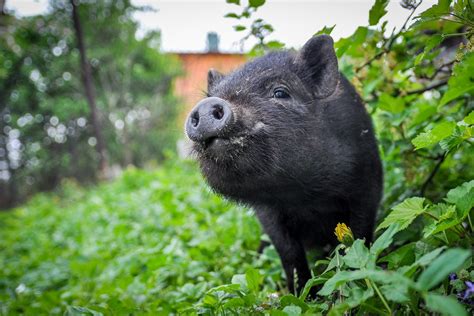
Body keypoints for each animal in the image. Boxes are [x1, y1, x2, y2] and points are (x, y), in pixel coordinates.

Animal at [183, 35, 384, 296]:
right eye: (214, 94)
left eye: (280, 92)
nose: (208, 104)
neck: (304, 193)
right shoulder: (267, 212)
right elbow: (288, 252)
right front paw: (302, 295)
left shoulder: (367, 183)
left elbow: (360, 233)